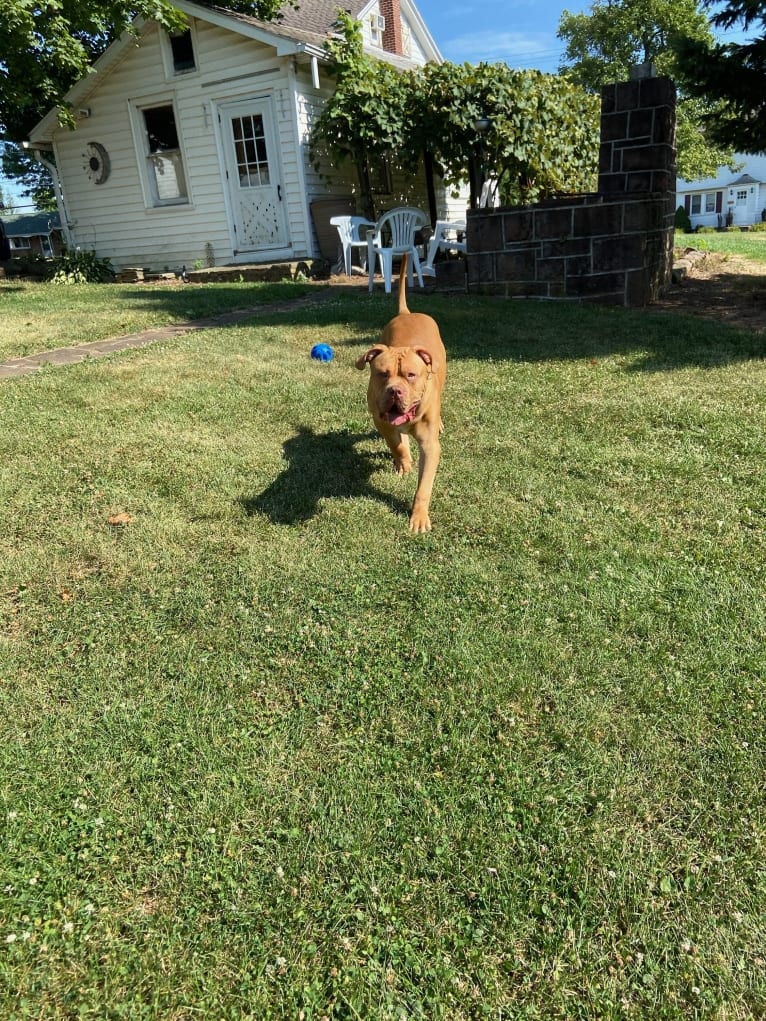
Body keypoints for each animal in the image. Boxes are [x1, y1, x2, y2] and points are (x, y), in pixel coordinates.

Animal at [357, 255, 447, 535]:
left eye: (410, 375)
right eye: (382, 374)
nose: (395, 390)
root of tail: (407, 313)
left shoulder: (430, 446)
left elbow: (424, 486)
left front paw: (418, 517)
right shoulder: (380, 420)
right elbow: (395, 443)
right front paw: (404, 462)